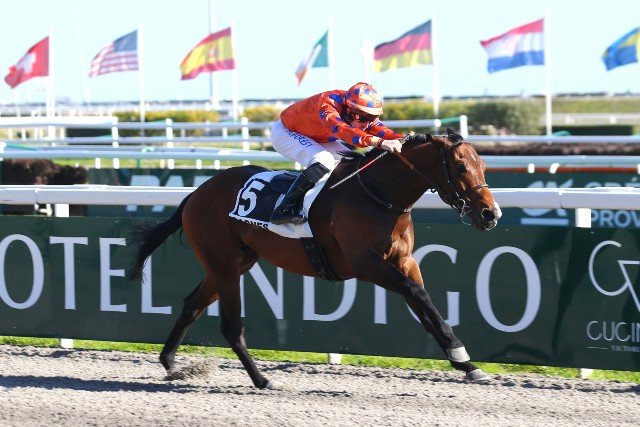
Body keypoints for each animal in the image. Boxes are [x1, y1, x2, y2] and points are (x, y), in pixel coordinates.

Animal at [128, 128, 501, 389]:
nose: (491, 214)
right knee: (231, 326)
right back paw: (262, 379)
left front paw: (466, 364)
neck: (378, 195)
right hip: (224, 264)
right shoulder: (366, 264)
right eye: (459, 166)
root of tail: (195, 193)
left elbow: (426, 307)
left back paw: (171, 363)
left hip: (234, 262)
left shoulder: (404, 262)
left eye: (483, 165)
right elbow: (419, 295)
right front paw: (460, 353)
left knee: (192, 305)